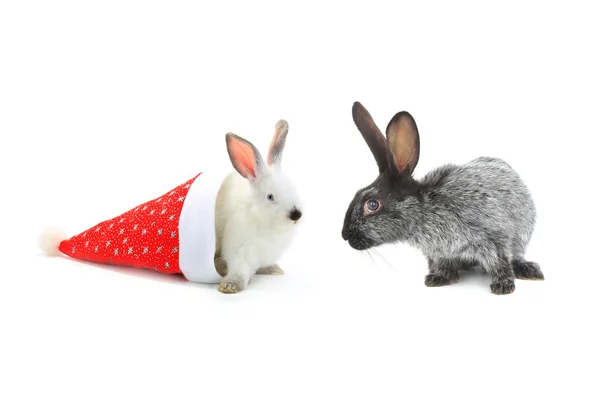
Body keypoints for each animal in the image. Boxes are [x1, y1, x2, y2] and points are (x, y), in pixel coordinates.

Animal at [213, 119, 302, 294]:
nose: (296, 214)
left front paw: (274, 269)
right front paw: (230, 286)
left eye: (293, 188)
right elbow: (238, 270)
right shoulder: (238, 251)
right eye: (270, 196)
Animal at [342, 100, 544, 294]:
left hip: (522, 234)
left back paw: (529, 270)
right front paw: (438, 279)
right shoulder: (438, 253)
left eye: (372, 204)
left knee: (516, 255)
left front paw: (503, 287)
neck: (424, 210)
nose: (344, 235)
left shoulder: (491, 238)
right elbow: (442, 266)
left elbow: (499, 262)